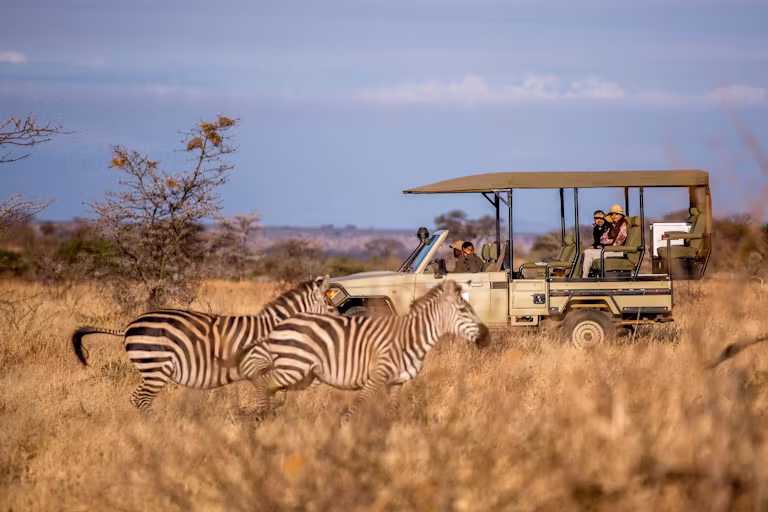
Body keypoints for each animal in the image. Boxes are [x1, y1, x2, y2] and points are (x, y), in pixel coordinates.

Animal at [71, 275, 336, 410]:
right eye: (332, 306)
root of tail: (129, 325)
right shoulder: (262, 369)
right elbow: (270, 399)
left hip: (151, 368)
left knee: (137, 398)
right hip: (156, 367)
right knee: (141, 399)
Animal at [232, 279, 490, 423]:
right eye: (464, 311)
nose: (486, 336)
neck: (410, 335)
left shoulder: (395, 381)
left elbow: (392, 410)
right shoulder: (377, 377)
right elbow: (357, 408)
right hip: (293, 367)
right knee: (267, 385)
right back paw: (254, 416)